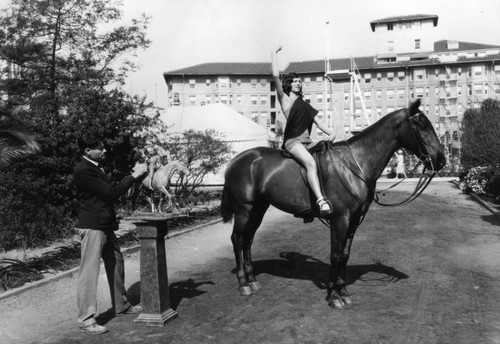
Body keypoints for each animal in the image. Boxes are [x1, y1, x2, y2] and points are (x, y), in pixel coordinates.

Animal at [221, 99, 448, 310]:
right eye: (421, 126)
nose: (441, 160)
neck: (355, 163)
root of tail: (236, 160)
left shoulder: (354, 221)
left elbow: (345, 255)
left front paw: (343, 291)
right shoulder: (340, 219)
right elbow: (336, 254)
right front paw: (333, 295)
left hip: (258, 209)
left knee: (248, 240)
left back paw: (252, 280)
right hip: (244, 210)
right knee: (237, 239)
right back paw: (243, 283)